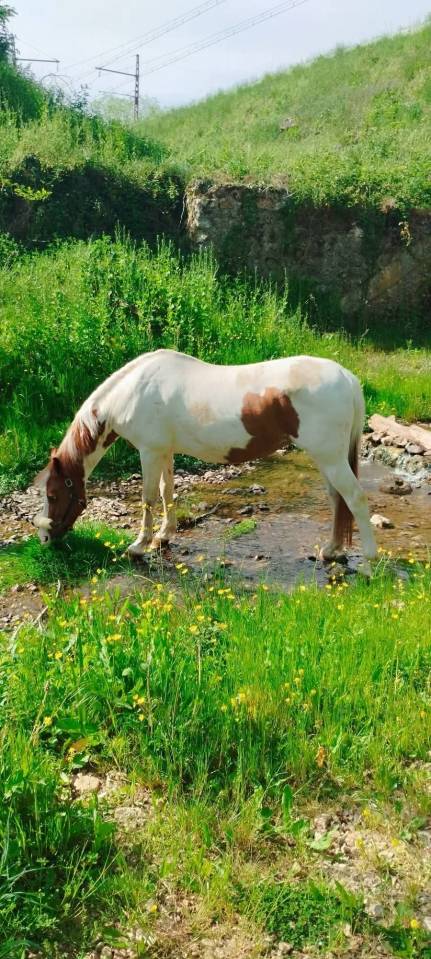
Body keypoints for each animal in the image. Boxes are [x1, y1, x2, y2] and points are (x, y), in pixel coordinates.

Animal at [33, 349, 377, 572]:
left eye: (53, 494)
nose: (45, 539)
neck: (133, 391)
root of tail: (347, 378)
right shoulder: (165, 452)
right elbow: (166, 493)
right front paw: (163, 537)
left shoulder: (149, 451)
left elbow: (148, 499)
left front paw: (139, 546)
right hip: (328, 460)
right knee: (337, 500)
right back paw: (332, 551)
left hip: (330, 458)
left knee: (355, 499)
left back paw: (371, 560)